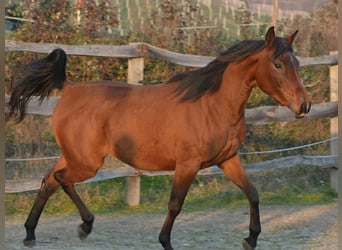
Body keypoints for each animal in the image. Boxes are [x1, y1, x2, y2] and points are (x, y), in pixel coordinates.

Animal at [6, 26, 310, 249]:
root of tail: (68, 88)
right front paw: (165, 242)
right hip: (86, 163)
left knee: (48, 181)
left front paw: (251, 238)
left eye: (296, 62)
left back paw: (31, 234)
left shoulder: (228, 159)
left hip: (73, 156)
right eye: (278, 64)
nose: (304, 105)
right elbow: (175, 205)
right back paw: (84, 225)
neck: (212, 104)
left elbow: (253, 193)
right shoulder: (187, 164)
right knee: (60, 180)